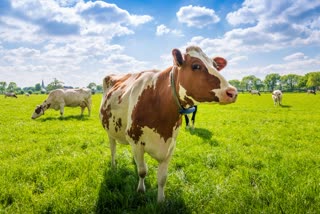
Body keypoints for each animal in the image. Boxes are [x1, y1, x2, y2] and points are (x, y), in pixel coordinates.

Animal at [100, 45, 238, 202]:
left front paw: (160, 201)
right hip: (110, 131)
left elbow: (162, 178)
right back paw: (113, 166)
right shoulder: (136, 142)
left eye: (215, 65)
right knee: (113, 150)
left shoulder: (170, 146)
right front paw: (141, 190)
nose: (232, 92)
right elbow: (142, 171)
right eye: (196, 66)